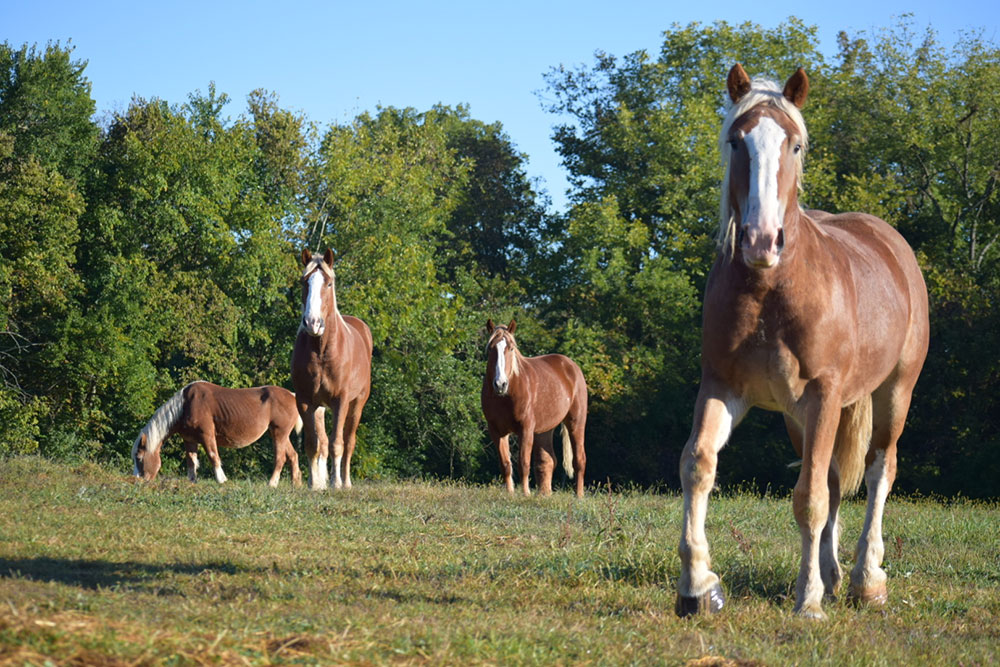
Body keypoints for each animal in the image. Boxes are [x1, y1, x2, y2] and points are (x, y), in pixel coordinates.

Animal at [133, 384, 304, 488]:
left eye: (140, 458)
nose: (138, 480)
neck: (186, 404)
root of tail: (292, 395)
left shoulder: (207, 434)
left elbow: (213, 455)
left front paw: (221, 479)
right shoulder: (189, 439)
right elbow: (191, 460)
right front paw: (192, 481)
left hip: (279, 433)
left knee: (280, 458)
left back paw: (272, 483)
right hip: (280, 434)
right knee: (293, 455)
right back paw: (296, 483)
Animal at [292, 249, 374, 490]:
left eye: (328, 283)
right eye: (304, 282)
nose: (312, 323)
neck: (322, 351)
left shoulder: (341, 401)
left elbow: (338, 443)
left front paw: (336, 482)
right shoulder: (305, 401)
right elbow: (313, 444)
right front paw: (313, 484)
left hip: (356, 405)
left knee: (348, 441)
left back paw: (345, 481)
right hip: (320, 408)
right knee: (323, 442)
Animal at [482, 320, 588, 498]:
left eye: (511, 348)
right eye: (491, 349)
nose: (500, 384)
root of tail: (571, 366)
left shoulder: (526, 429)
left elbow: (523, 463)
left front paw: (525, 494)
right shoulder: (496, 431)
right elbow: (505, 464)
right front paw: (510, 494)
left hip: (576, 423)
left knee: (579, 460)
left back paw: (579, 496)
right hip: (544, 430)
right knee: (548, 460)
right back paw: (545, 494)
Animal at [672, 64, 928, 620]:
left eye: (794, 145)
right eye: (737, 141)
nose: (760, 240)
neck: (769, 290)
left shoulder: (824, 395)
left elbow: (808, 497)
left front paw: (807, 600)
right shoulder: (723, 388)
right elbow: (698, 466)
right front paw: (698, 586)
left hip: (894, 393)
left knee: (879, 471)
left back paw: (866, 580)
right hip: (798, 417)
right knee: (832, 479)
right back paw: (833, 576)